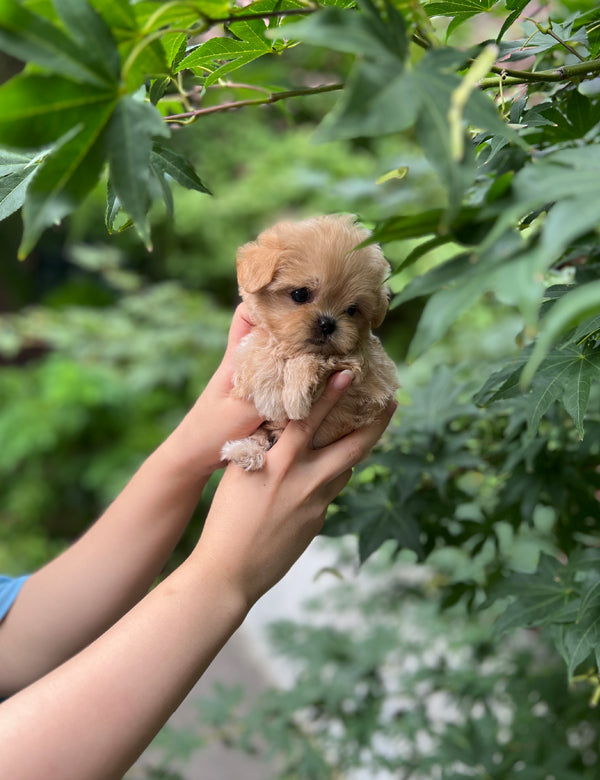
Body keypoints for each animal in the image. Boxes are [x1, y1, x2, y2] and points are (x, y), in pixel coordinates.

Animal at [220, 210, 398, 472]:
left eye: (352, 310)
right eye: (300, 294)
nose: (327, 323)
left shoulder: (362, 369)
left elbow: (314, 358)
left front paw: (294, 393)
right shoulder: (252, 343)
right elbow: (261, 347)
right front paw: (273, 390)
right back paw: (245, 451)